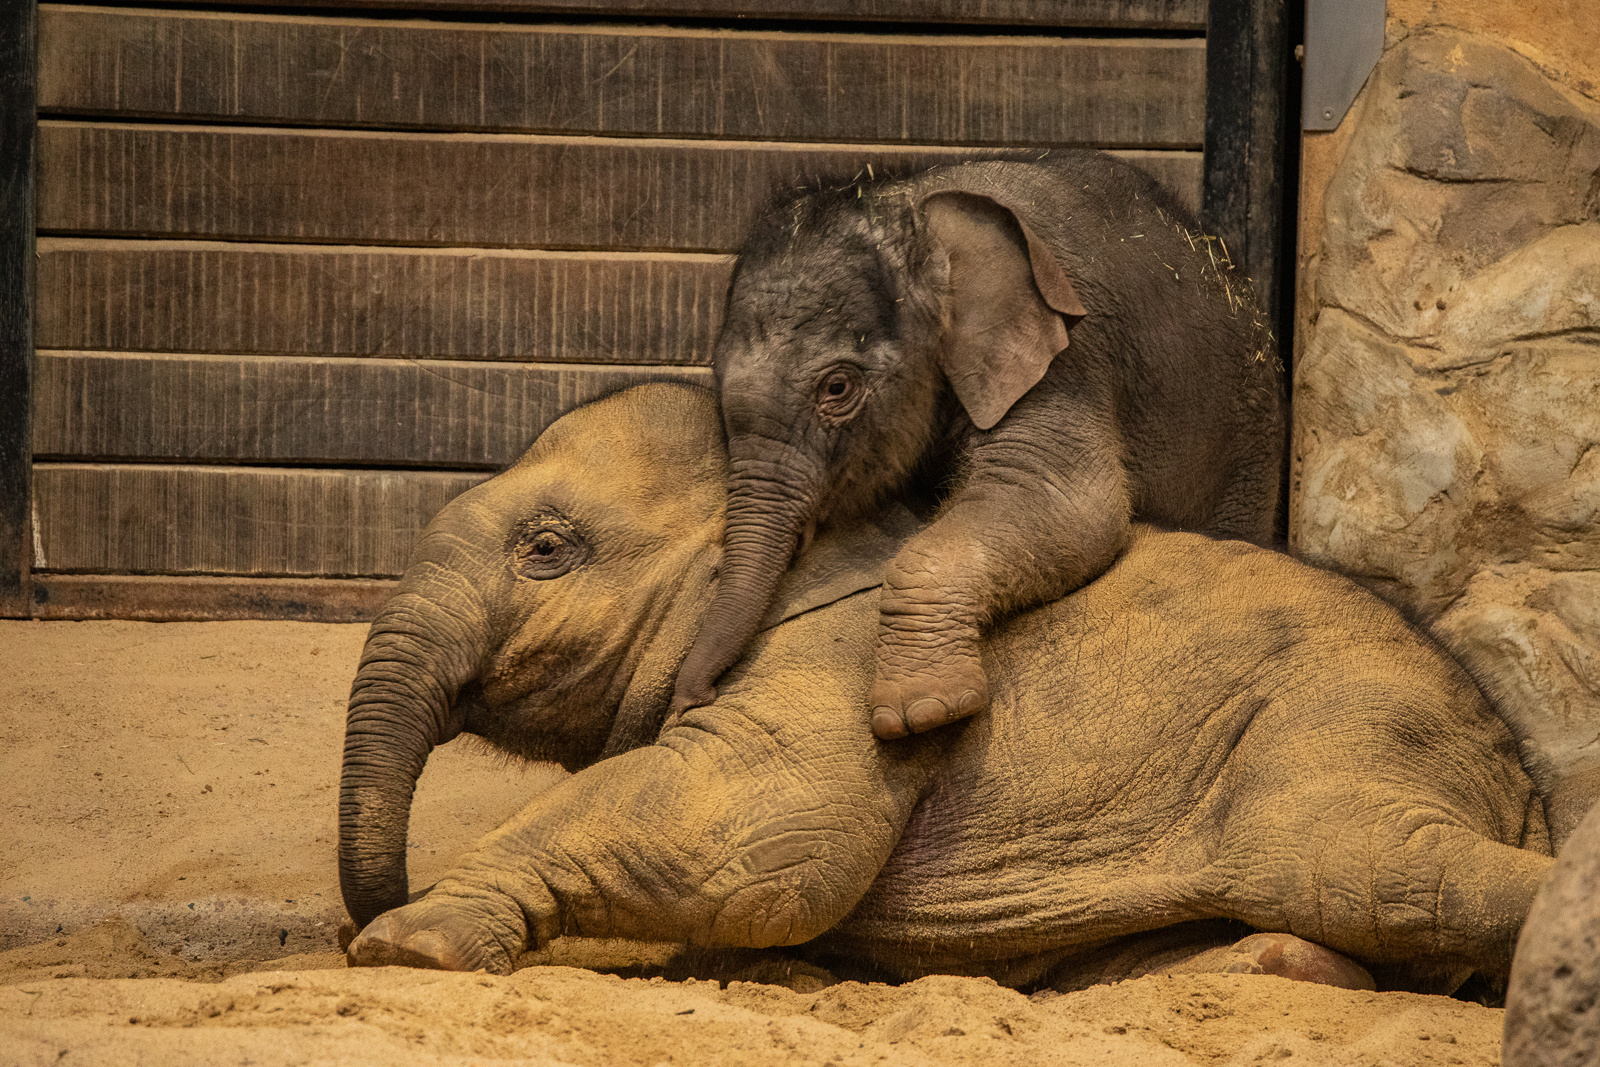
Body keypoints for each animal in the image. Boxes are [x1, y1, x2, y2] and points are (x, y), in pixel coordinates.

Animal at [337, 382, 1548, 991]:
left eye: (547, 547)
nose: (384, 886)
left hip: (1339, 731)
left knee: (1374, 871)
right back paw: (1264, 963)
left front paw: (404, 946)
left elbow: (769, 847)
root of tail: (1519, 772)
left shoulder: (845, 657)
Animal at [672, 154, 1286, 739]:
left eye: (838, 388)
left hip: (1249, 453)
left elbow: (1070, 504)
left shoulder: (1069, 355)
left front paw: (923, 714)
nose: (693, 699)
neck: (914, 206)